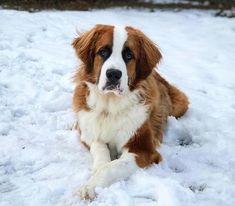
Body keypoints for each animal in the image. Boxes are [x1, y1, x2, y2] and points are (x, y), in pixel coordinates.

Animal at [71, 24, 189, 200]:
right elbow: (100, 150)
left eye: (128, 55)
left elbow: (111, 167)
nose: (113, 74)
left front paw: (90, 186)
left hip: (181, 103)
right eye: (103, 52)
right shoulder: (91, 133)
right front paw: (97, 171)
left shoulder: (142, 150)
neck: (110, 107)